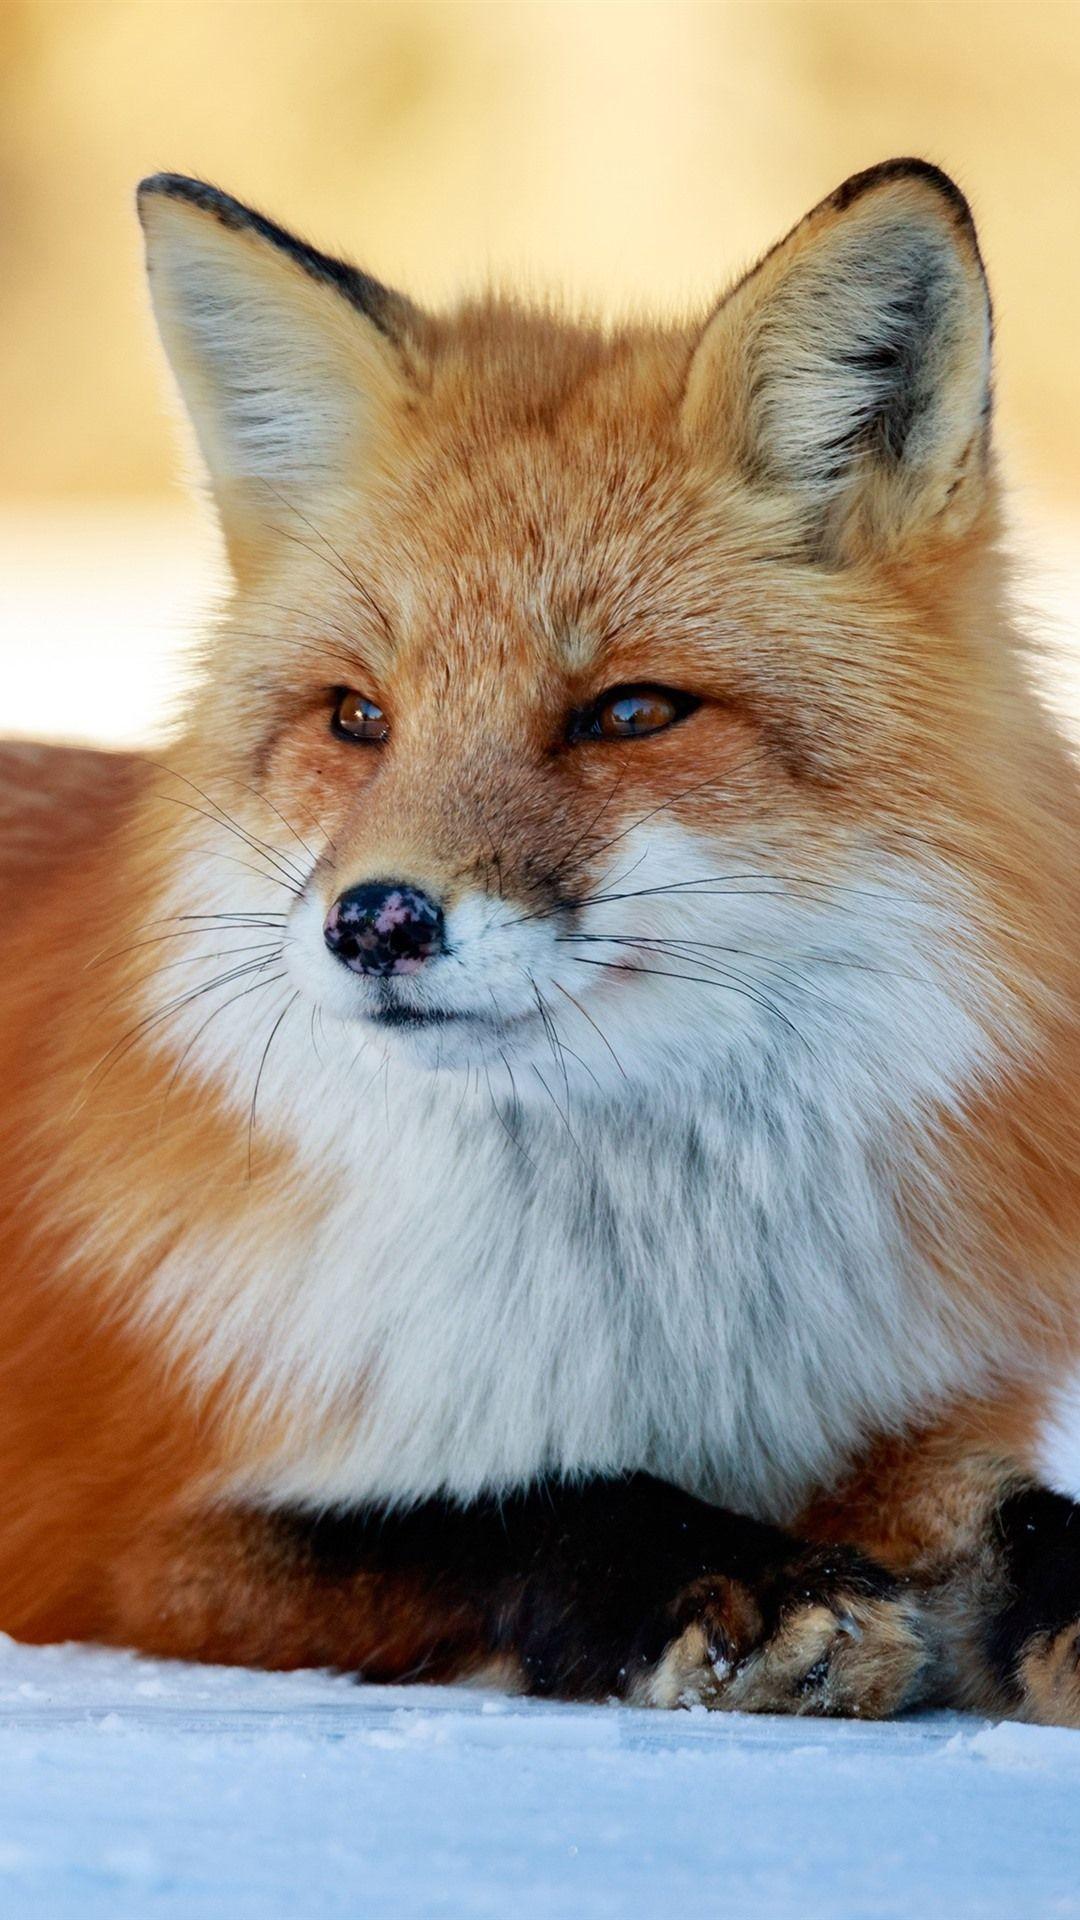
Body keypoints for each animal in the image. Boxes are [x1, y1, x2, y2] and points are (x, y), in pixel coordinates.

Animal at [2, 156, 1080, 1723]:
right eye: (358, 717)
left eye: (628, 712)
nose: (376, 920)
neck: (646, 1312)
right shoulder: (124, 1540)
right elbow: (506, 1505)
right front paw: (724, 1571)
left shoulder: (903, 1423)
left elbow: (1031, 1524)